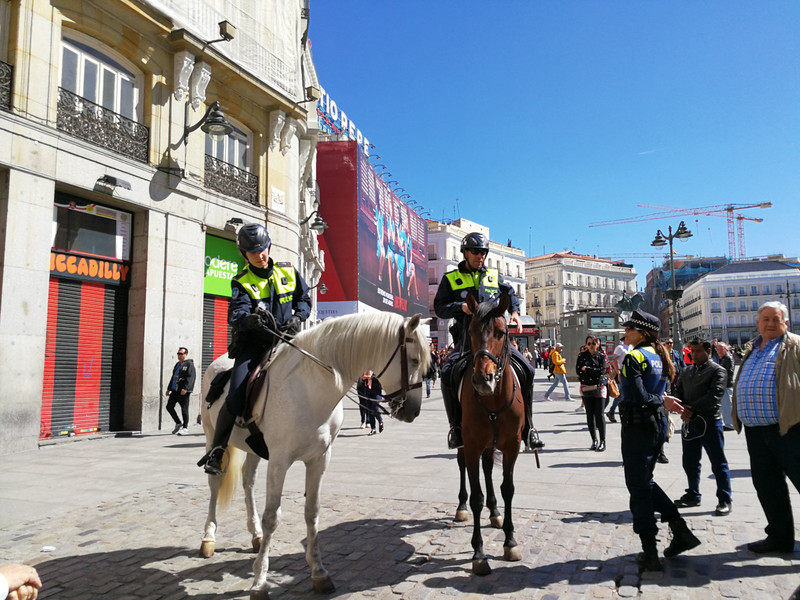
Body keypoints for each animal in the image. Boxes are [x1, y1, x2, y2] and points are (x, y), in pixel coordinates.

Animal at [198, 312, 428, 596]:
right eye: (414, 360)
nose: (414, 411)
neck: (311, 389)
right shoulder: (279, 461)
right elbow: (272, 517)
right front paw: (260, 581)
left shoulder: (319, 459)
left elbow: (312, 512)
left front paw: (319, 572)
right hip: (211, 435)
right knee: (215, 482)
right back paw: (208, 537)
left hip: (253, 448)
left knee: (248, 480)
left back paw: (255, 534)